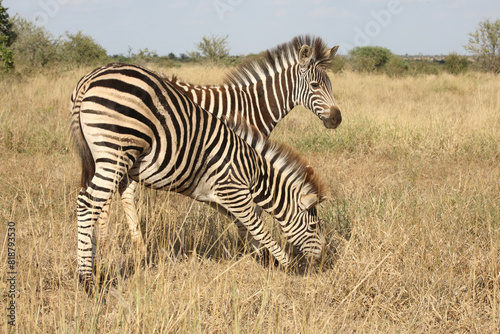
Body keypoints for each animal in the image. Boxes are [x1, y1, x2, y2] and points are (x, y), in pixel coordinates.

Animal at [71, 64, 328, 288]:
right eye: (314, 225)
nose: (322, 261)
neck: (254, 173)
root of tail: (90, 78)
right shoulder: (234, 191)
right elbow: (258, 226)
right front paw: (284, 263)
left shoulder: (216, 197)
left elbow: (244, 223)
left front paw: (256, 254)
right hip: (116, 151)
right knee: (88, 203)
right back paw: (87, 279)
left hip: (101, 158)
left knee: (92, 201)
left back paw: (95, 262)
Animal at [95, 34, 342, 253]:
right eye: (314, 85)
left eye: (330, 84)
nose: (336, 119)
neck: (249, 107)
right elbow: (255, 208)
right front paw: (251, 247)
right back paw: (109, 246)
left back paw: (130, 245)